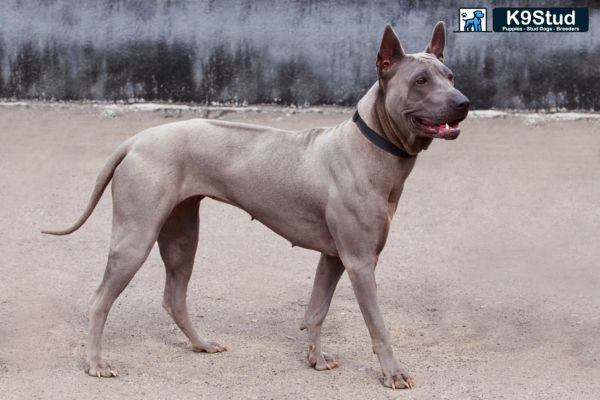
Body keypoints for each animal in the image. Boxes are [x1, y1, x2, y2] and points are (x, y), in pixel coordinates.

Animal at [45, 22, 468, 390]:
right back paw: (96, 363)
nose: (464, 102)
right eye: (420, 81)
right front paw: (393, 373)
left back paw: (201, 344)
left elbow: (316, 311)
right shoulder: (360, 262)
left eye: (450, 76)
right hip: (135, 238)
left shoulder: (334, 257)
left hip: (182, 236)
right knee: (99, 301)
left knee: (173, 298)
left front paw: (315, 359)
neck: (370, 147)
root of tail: (137, 139)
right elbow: (378, 325)